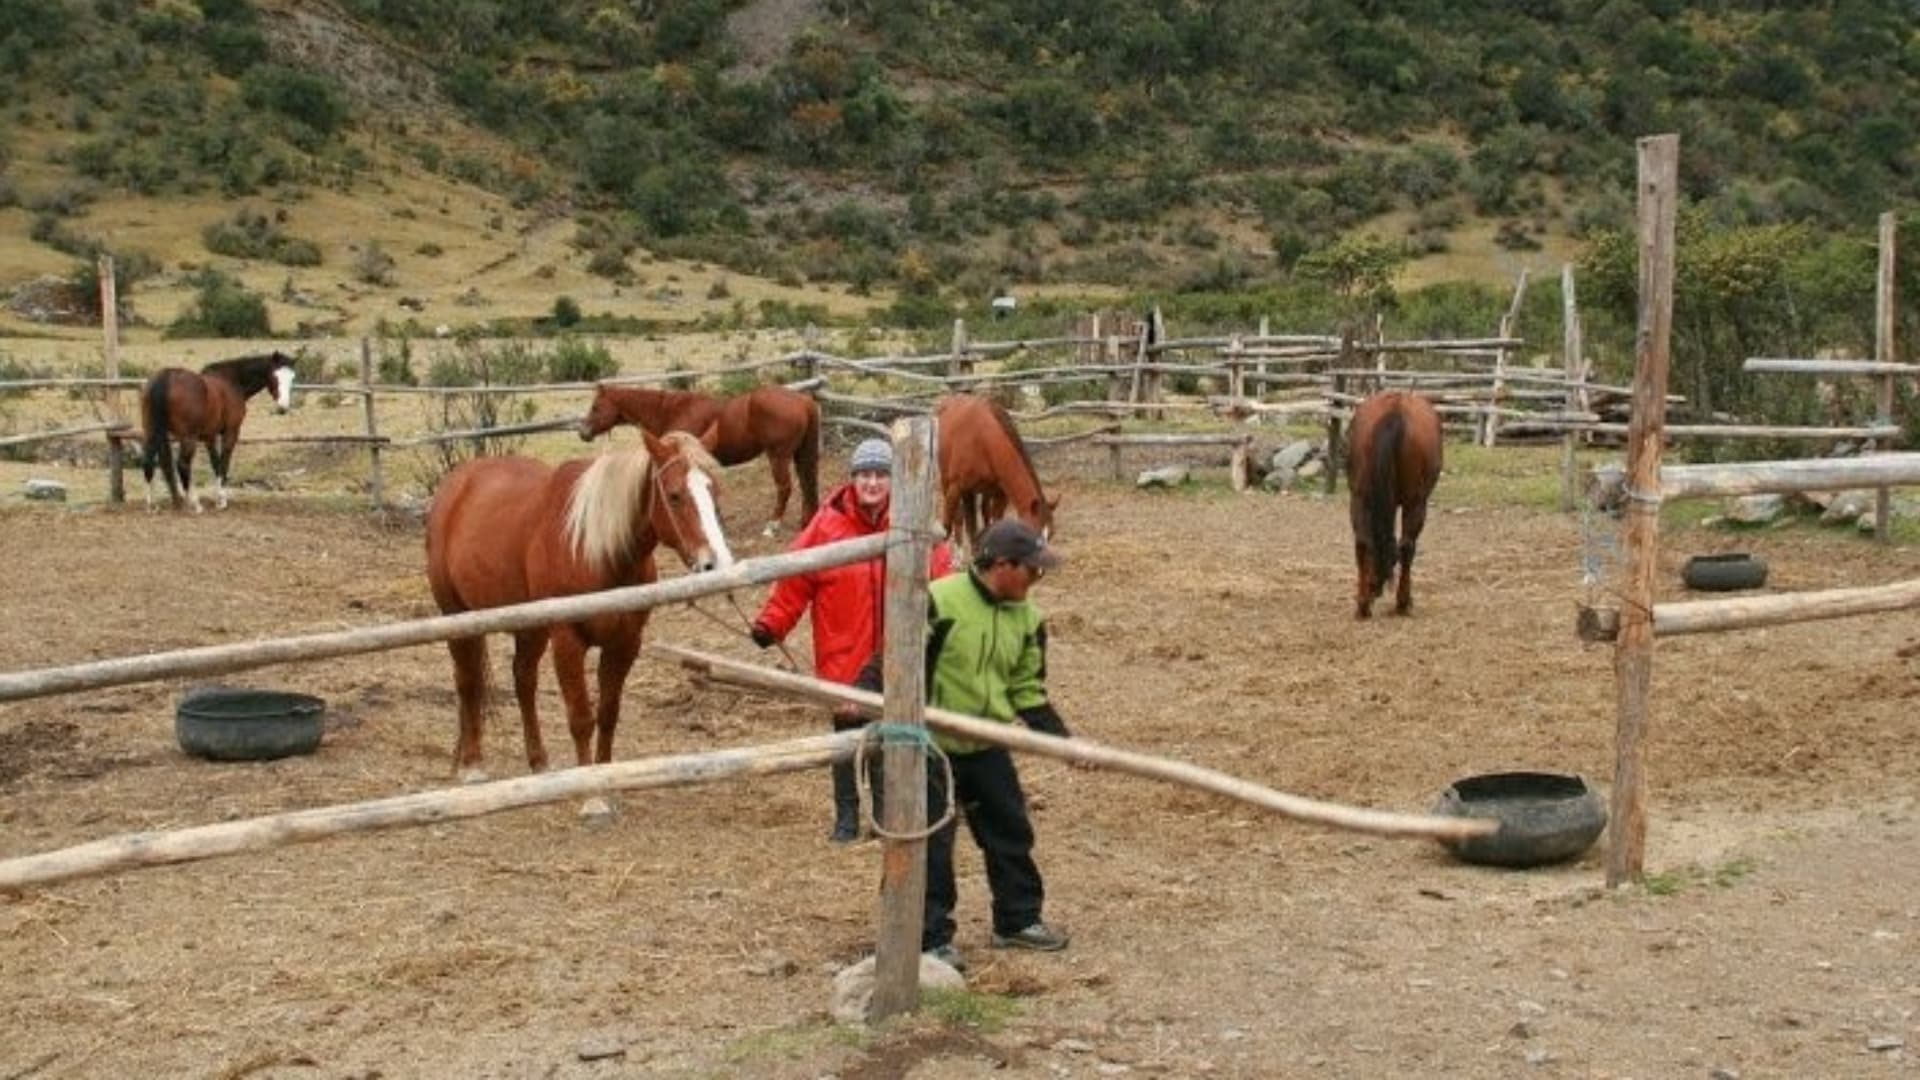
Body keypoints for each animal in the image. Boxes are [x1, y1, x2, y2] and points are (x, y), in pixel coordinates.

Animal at [140, 351, 297, 512]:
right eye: (274, 376)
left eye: (292, 378)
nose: (283, 408)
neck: (232, 381)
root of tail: (166, 377)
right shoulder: (231, 432)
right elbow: (224, 463)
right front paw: (222, 501)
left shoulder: (209, 436)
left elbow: (215, 463)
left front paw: (219, 498)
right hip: (188, 438)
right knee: (183, 464)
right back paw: (195, 504)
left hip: (151, 432)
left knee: (148, 462)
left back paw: (151, 505)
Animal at [424, 430, 734, 783]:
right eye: (674, 496)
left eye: (714, 490)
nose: (715, 563)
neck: (593, 550)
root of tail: (456, 483)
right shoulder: (567, 641)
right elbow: (581, 719)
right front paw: (589, 788)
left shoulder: (625, 643)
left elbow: (608, 713)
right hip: (457, 616)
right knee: (468, 681)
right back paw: (473, 765)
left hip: (530, 628)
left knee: (523, 680)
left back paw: (539, 762)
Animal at [578, 384, 820, 535]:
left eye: (595, 407)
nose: (583, 433)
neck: (670, 411)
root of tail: (803, 400)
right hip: (798, 454)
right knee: (806, 482)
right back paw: (806, 522)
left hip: (778, 455)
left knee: (785, 488)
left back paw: (772, 526)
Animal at [933, 393, 1058, 550]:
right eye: (1032, 532)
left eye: (1051, 535)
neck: (982, 440)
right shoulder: (957, 488)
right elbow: (952, 526)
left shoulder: (1001, 495)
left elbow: (994, 523)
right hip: (948, 482)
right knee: (959, 519)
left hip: (982, 492)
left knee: (981, 515)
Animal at [1345, 390, 1443, 619]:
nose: (1375, 587)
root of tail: (1395, 409)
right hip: (1416, 502)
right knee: (1407, 546)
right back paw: (1402, 603)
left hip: (1359, 497)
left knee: (1363, 543)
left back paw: (1363, 604)